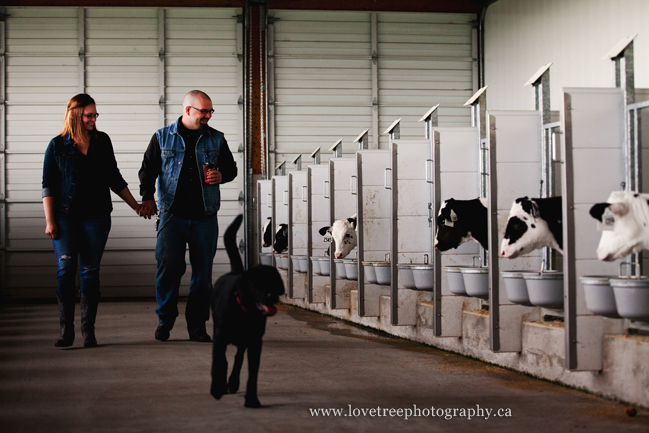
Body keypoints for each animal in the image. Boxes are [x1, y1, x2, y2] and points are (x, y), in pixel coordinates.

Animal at [211, 214, 284, 406]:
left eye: (274, 281)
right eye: (257, 282)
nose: (271, 296)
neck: (244, 311)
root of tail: (235, 271)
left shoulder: (255, 342)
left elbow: (252, 372)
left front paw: (251, 399)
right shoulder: (219, 338)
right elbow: (219, 362)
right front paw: (217, 388)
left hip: (243, 341)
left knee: (238, 359)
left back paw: (233, 382)